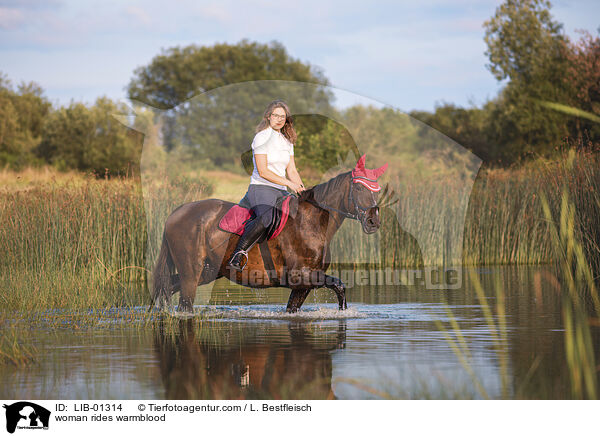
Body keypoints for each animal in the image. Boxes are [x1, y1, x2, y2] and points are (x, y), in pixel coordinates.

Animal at [151, 155, 390, 312]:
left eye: (376, 190)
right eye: (359, 189)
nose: (373, 221)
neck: (311, 222)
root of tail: (176, 212)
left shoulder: (302, 286)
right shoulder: (301, 276)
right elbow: (339, 285)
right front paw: (343, 312)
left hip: (207, 272)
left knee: (166, 288)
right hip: (192, 273)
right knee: (184, 304)